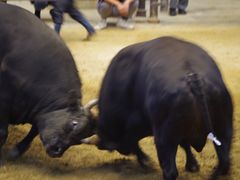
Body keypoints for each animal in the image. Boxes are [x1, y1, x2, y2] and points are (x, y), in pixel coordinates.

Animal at [0, 3, 95, 160]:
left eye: (78, 141)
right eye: (74, 123)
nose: (57, 150)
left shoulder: (42, 111)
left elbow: (35, 130)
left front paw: (17, 150)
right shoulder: (4, 97)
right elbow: (2, 132)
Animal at [83, 37, 233, 180]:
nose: (123, 150)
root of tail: (192, 77)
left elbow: (134, 142)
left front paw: (145, 160)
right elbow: (185, 144)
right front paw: (193, 165)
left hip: (164, 138)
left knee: (170, 171)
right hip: (224, 129)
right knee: (224, 162)